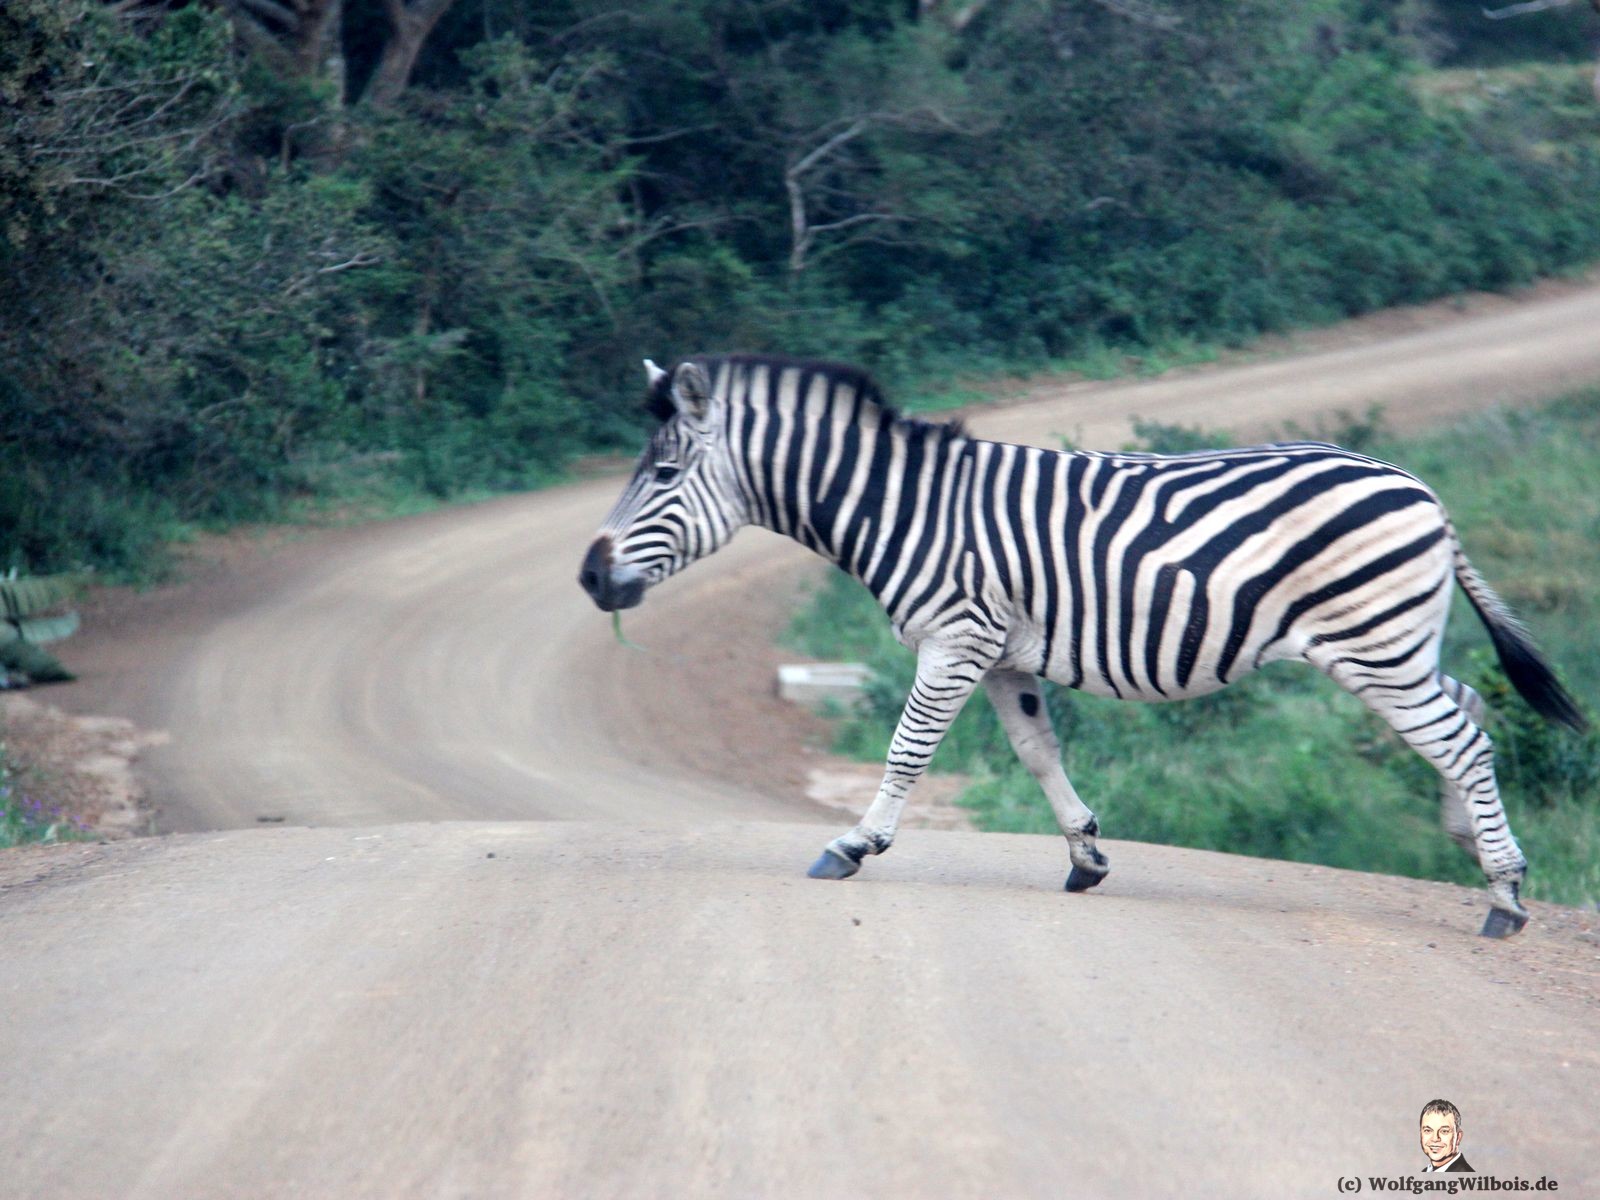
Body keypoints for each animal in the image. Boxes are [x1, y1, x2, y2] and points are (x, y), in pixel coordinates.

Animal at [579, 352, 1587, 934]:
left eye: (662, 473)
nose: (590, 579)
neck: (900, 507)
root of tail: (1423, 491)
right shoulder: (1003, 653)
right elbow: (1038, 751)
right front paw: (1087, 855)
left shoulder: (956, 636)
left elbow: (908, 751)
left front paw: (856, 843)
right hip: (1392, 645)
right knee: (1465, 716)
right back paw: (1473, 848)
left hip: (1372, 644)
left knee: (1462, 736)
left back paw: (1505, 893)